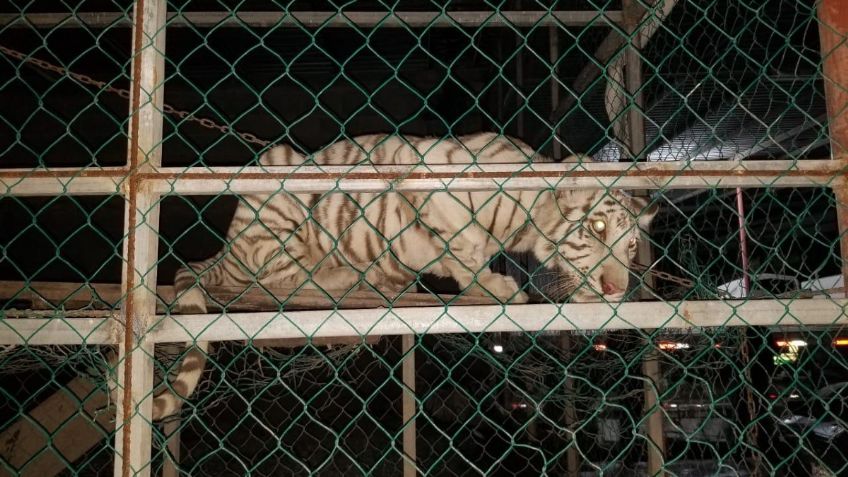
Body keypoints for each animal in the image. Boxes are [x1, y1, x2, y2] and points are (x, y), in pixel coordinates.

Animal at [147, 132, 656, 418]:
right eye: (597, 228)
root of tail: (225, 250)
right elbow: (464, 246)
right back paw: (346, 276)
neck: (529, 224)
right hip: (278, 186)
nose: (616, 289)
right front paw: (494, 285)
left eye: (632, 247)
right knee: (272, 275)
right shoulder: (435, 186)